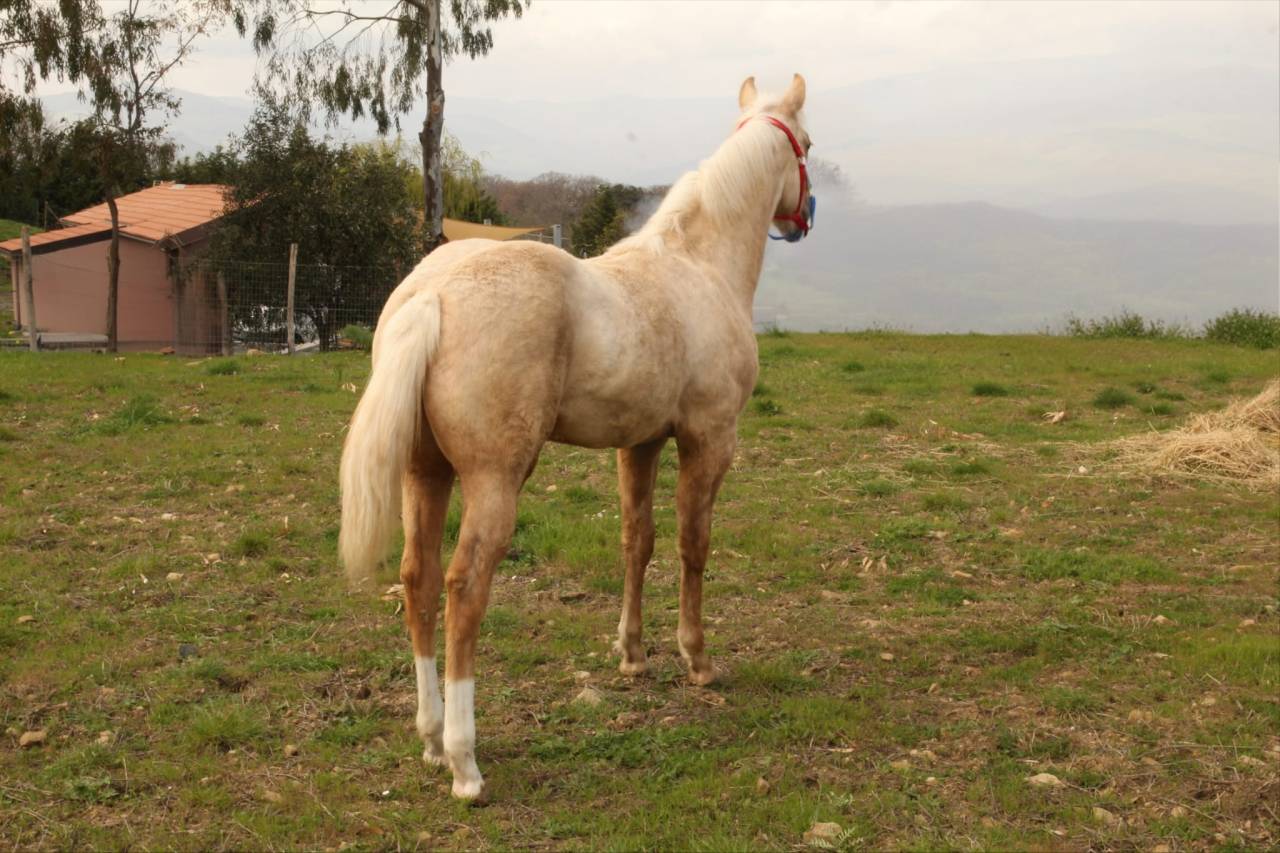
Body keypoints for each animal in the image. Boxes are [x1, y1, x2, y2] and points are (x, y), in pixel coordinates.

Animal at [339, 74, 814, 800]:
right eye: (807, 146)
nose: (804, 215)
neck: (698, 266)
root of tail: (433, 293)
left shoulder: (640, 443)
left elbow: (637, 542)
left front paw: (633, 654)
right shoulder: (708, 439)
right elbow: (693, 545)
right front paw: (697, 658)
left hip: (426, 474)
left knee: (417, 580)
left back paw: (430, 738)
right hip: (494, 482)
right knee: (463, 587)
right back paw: (464, 763)